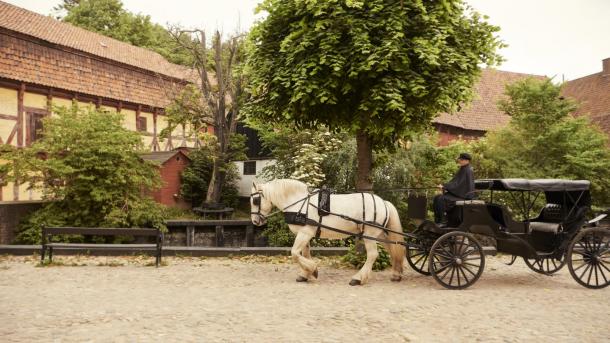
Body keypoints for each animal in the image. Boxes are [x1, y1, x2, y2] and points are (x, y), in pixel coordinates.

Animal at [249, 179, 406, 286]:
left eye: (255, 200)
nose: (255, 221)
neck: (300, 203)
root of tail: (383, 202)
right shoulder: (306, 234)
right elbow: (305, 253)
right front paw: (306, 274)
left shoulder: (305, 233)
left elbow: (294, 253)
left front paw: (313, 269)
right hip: (380, 235)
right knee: (393, 250)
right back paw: (396, 274)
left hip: (369, 235)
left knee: (373, 255)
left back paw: (358, 278)